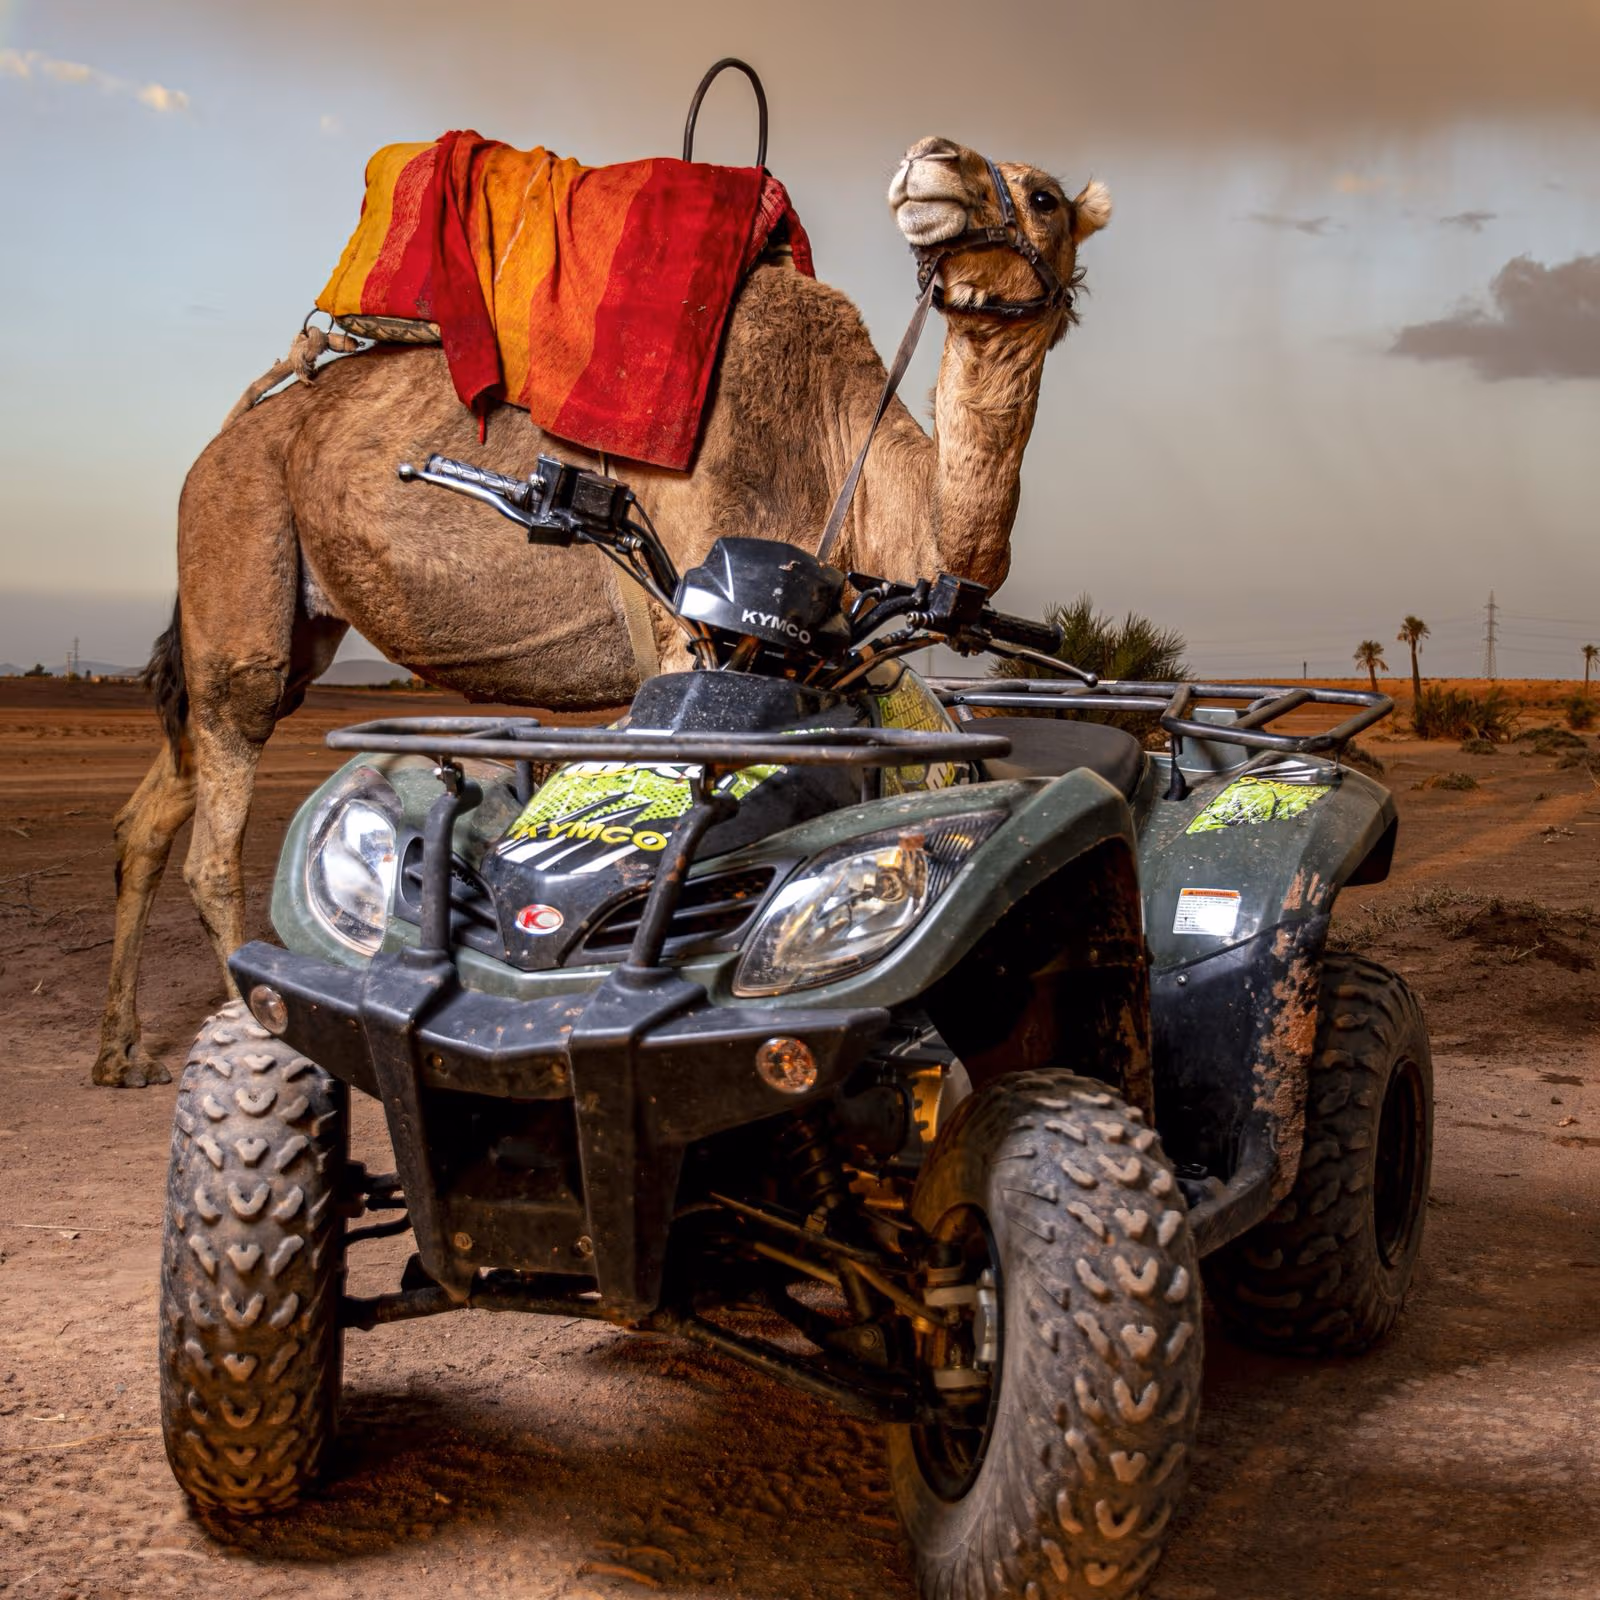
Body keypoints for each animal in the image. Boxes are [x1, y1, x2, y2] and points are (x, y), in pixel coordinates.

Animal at [94, 134, 1112, 1086]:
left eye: (1046, 198)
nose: (933, 163)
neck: (846, 455)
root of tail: (230, 431)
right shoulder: (694, 629)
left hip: (283, 611)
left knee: (155, 807)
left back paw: (122, 1052)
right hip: (237, 535)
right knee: (221, 795)